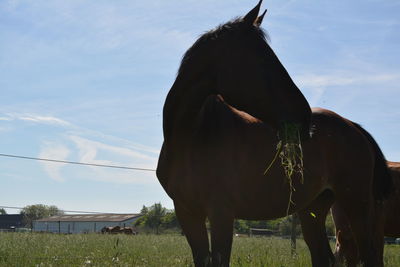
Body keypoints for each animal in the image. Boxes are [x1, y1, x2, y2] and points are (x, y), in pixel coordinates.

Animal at [155, 1, 390, 266]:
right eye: (261, 60)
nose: (304, 117)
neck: (192, 138)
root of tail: (354, 127)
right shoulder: (188, 213)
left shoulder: (221, 213)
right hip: (314, 209)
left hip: (356, 205)